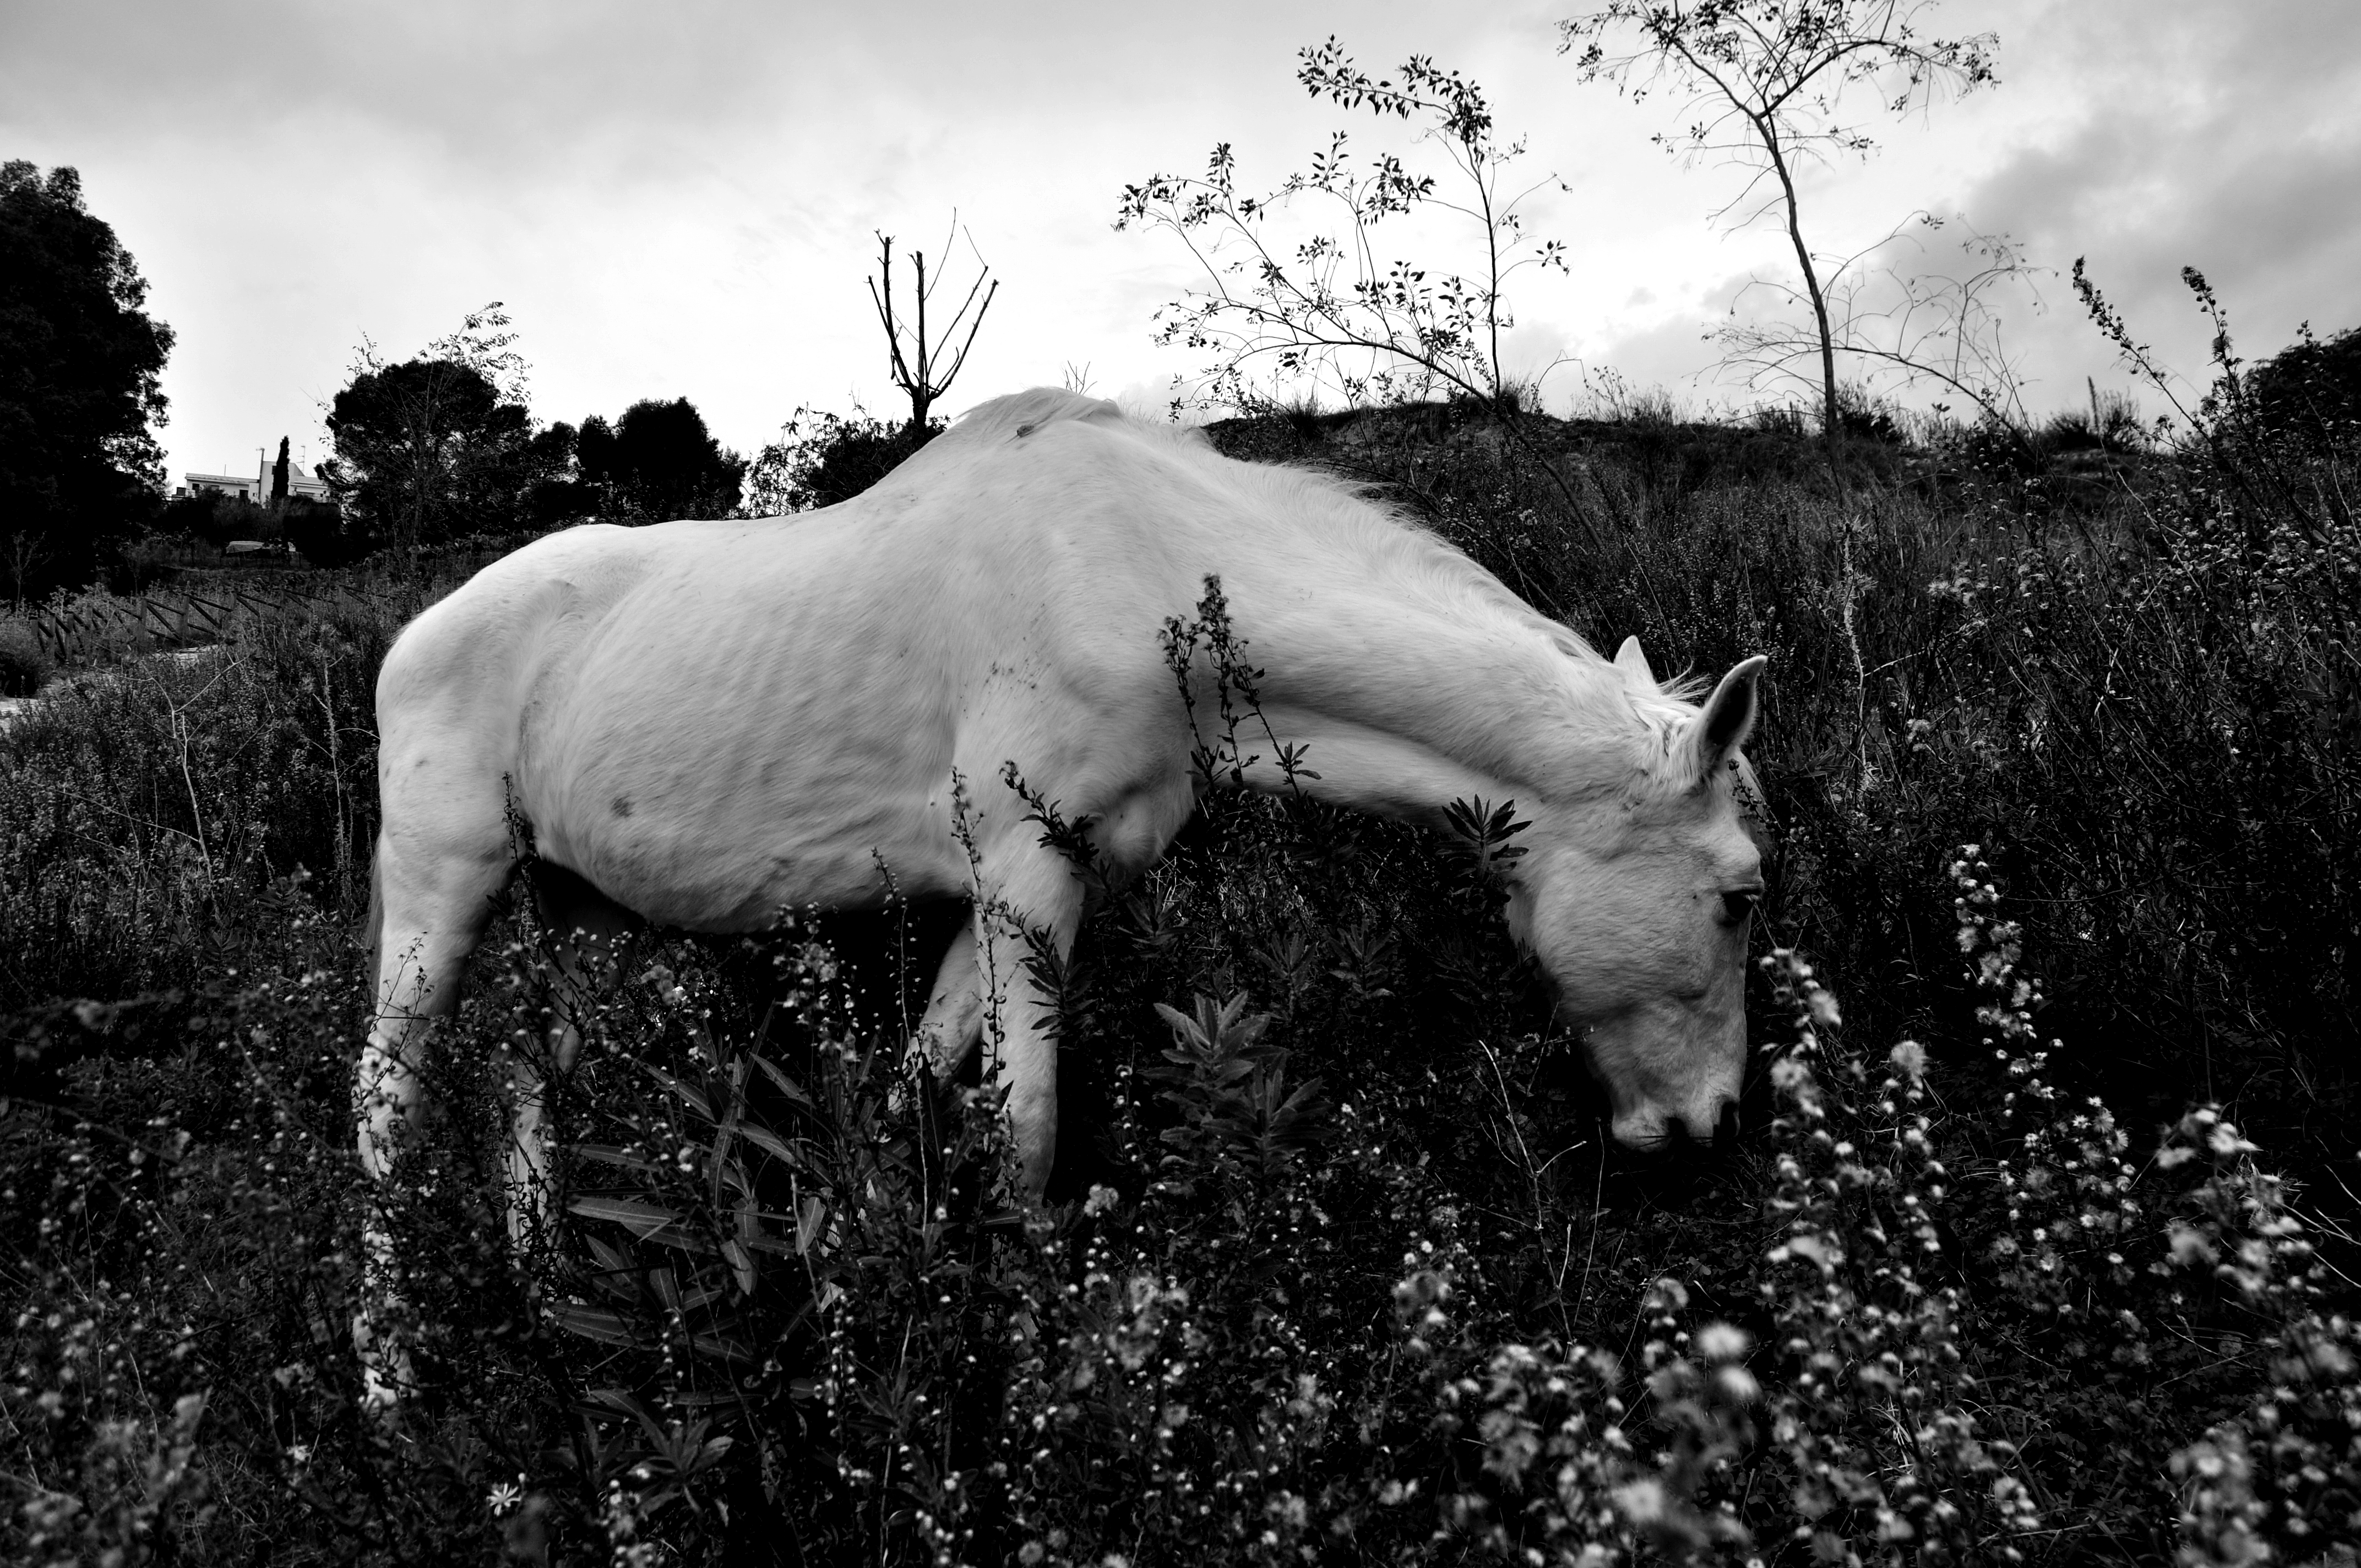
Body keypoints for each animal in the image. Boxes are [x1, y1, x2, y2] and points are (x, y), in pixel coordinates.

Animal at [355, 386, 1764, 1394]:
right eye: (1740, 895)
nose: (1705, 1128)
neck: (1137, 571)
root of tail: (416, 632)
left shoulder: (1027, 887)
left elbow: (916, 1097)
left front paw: (856, 1301)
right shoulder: (1024, 880)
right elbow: (1021, 1140)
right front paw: (1033, 1379)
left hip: (571, 908)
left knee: (526, 1084)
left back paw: (549, 1302)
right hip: (442, 889)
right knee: (384, 1107)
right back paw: (391, 1393)